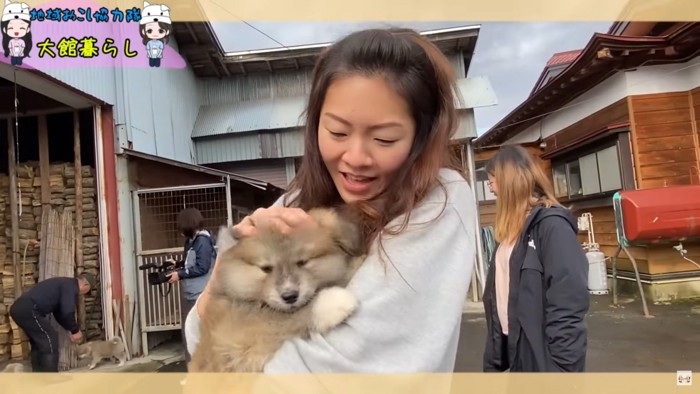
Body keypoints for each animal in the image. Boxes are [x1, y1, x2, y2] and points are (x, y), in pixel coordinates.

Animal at [189, 206, 370, 372]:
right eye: (266, 268)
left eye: (302, 262)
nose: (290, 296)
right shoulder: (241, 340)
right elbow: (285, 318)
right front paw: (332, 302)